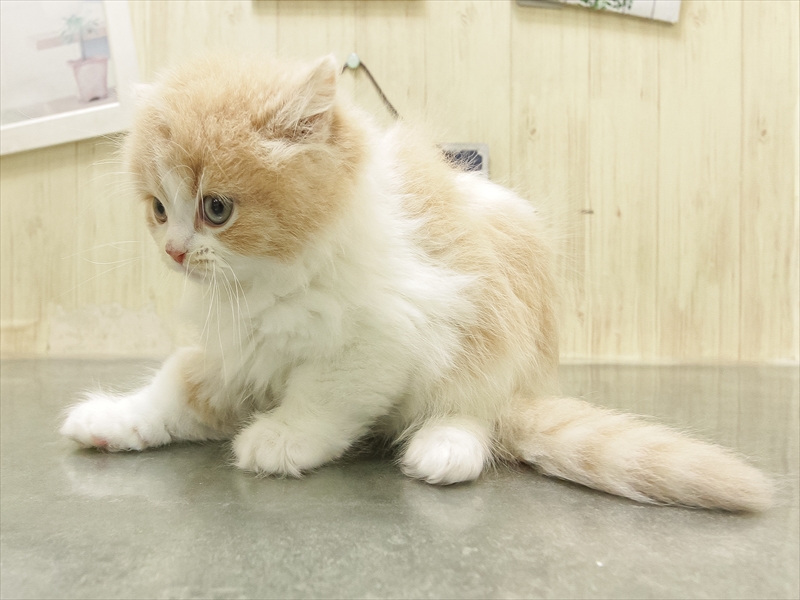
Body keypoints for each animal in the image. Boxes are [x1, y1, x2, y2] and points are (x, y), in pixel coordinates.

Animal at [61, 54, 773, 511]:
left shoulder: (384, 336)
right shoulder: (236, 350)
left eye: (216, 209)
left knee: (479, 408)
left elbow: (323, 395)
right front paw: (111, 419)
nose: (176, 251)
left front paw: (280, 438)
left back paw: (443, 447)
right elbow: (173, 388)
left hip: (492, 336)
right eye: (158, 209)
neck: (274, 278)